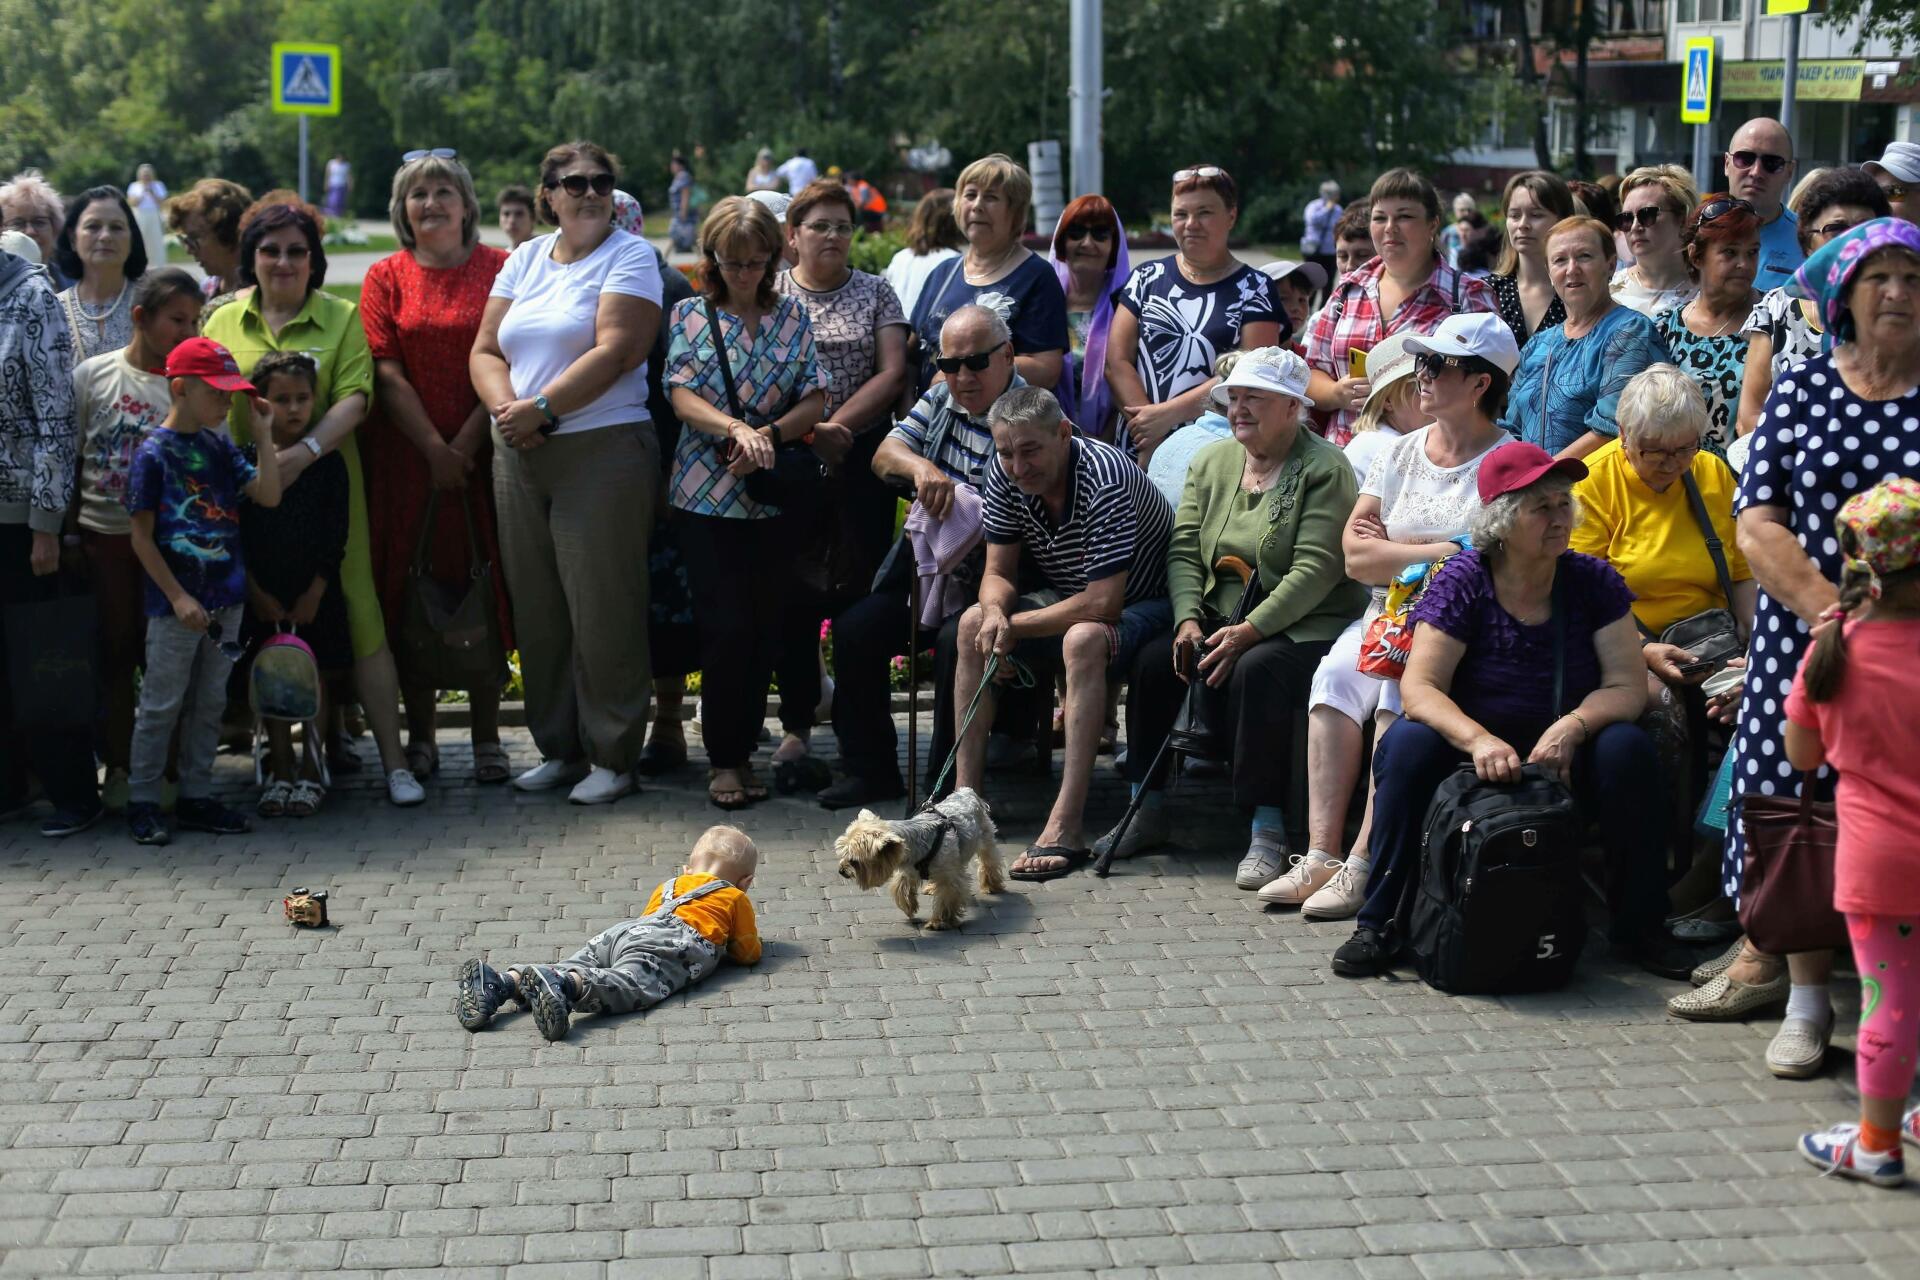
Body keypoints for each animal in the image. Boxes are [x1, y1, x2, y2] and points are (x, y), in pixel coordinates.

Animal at [833, 788, 1004, 930]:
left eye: (854, 861)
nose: (841, 871)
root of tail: (966, 791)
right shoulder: (908, 870)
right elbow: (901, 887)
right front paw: (909, 907)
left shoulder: (950, 877)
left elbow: (947, 897)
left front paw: (939, 921)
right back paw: (931, 887)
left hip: (985, 837)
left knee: (989, 861)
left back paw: (990, 885)